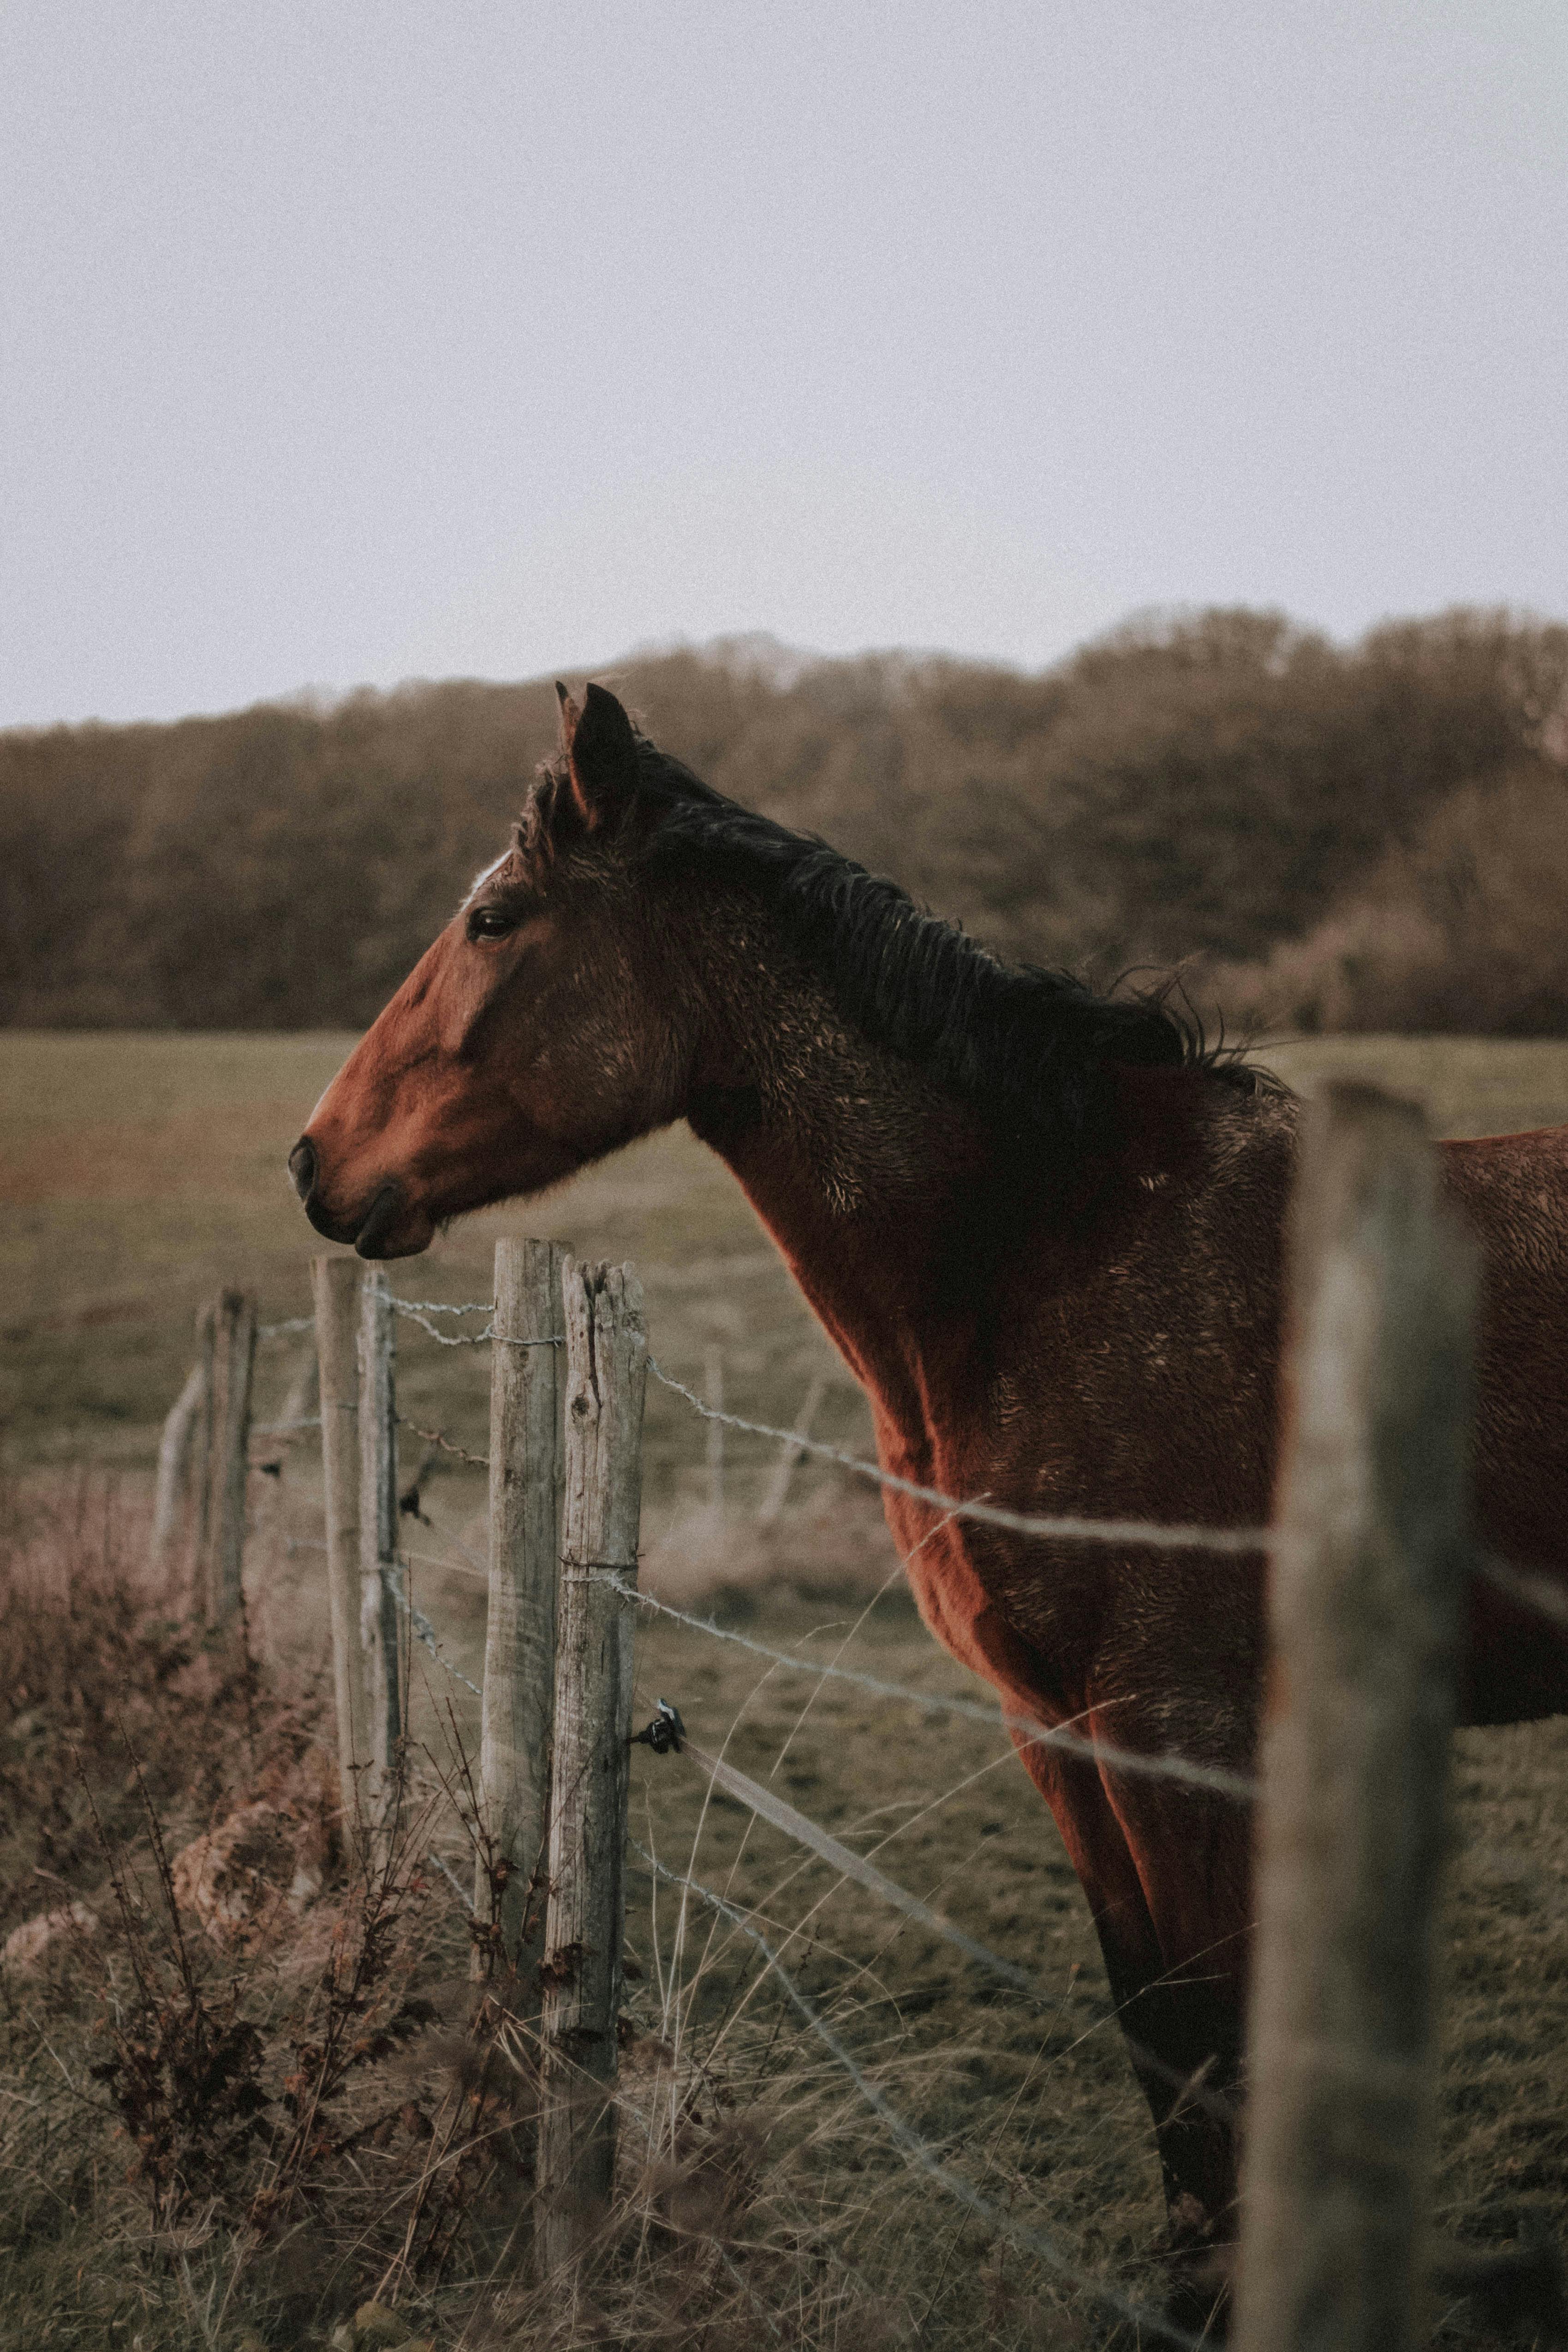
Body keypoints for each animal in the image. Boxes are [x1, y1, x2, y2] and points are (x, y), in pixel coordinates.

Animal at [291, 682, 1568, 2258]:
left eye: (494, 919)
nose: (314, 1161)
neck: (1046, 1248)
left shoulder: (1181, 1726)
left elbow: (1213, 2058)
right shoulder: (1055, 1729)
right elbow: (1163, 2054)